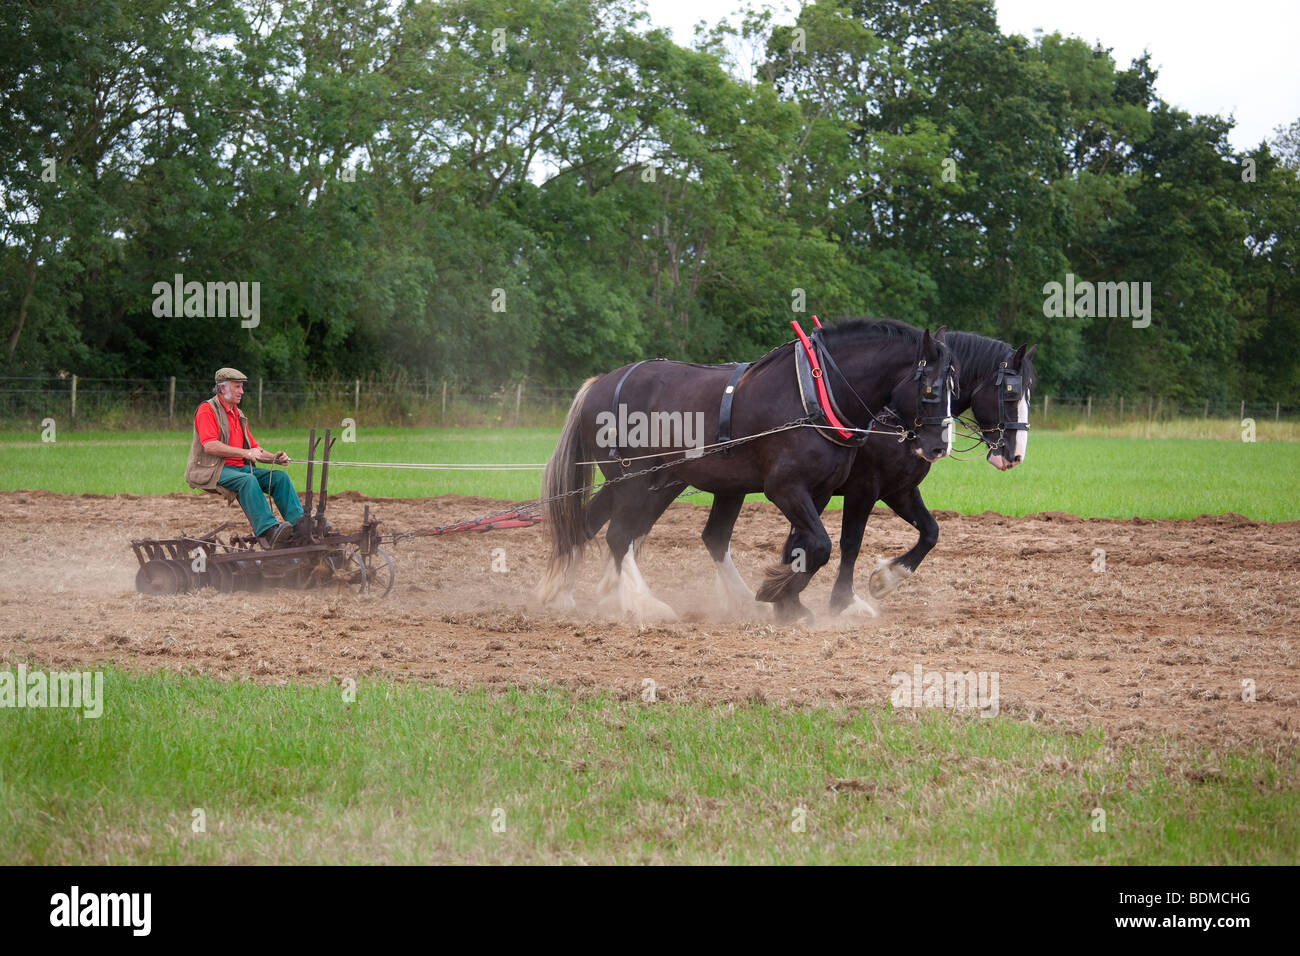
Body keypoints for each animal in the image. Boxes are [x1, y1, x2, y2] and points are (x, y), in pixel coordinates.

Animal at [538, 319, 956, 623]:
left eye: (954, 385)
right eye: (932, 388)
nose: (937, 446)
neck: (815, 393)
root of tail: (599, 383)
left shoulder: (820, 490)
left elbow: (803, 546)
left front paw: (786, 601)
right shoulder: (788, 488)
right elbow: (823, 545)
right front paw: (780, 594)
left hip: (655, 482)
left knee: (593, 525)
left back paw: (564, 593)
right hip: (635, 480)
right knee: (619, 535)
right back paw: (642, 603)